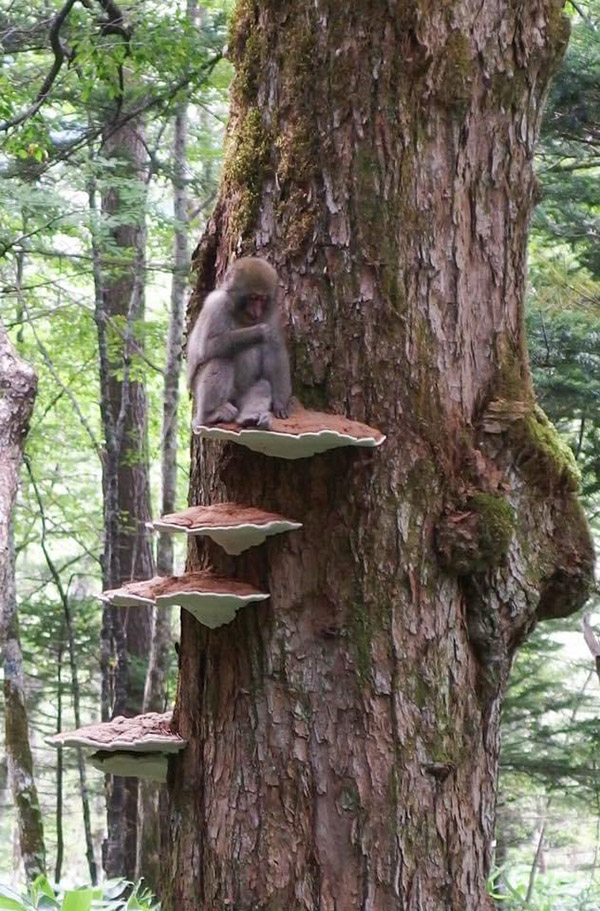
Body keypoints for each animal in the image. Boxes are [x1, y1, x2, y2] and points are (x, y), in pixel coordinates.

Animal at [186, 253, 292, 432]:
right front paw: (258, 332)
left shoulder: (272, 314)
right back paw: (211, 413)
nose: (257, 312)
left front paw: (280, 404)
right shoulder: (216, 305)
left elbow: (276, 353)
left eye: (262, 299)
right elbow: (206, 347)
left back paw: (250, 417)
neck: (241, 315)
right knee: (221, 360)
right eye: (253, 298)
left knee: (262, 385)